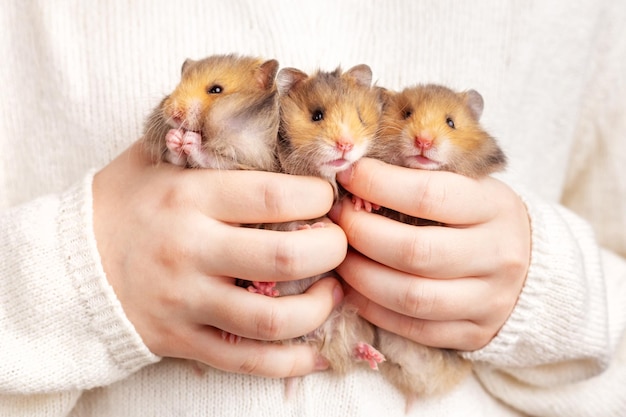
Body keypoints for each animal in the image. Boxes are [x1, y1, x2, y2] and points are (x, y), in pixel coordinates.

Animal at [143, 53, 280, 171]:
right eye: (177, 86)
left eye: (216, 89)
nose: (174, 114)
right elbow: (176, 159)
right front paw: (173, 136)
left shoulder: (251, 159)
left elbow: (212, 160)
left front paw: (190, 139)